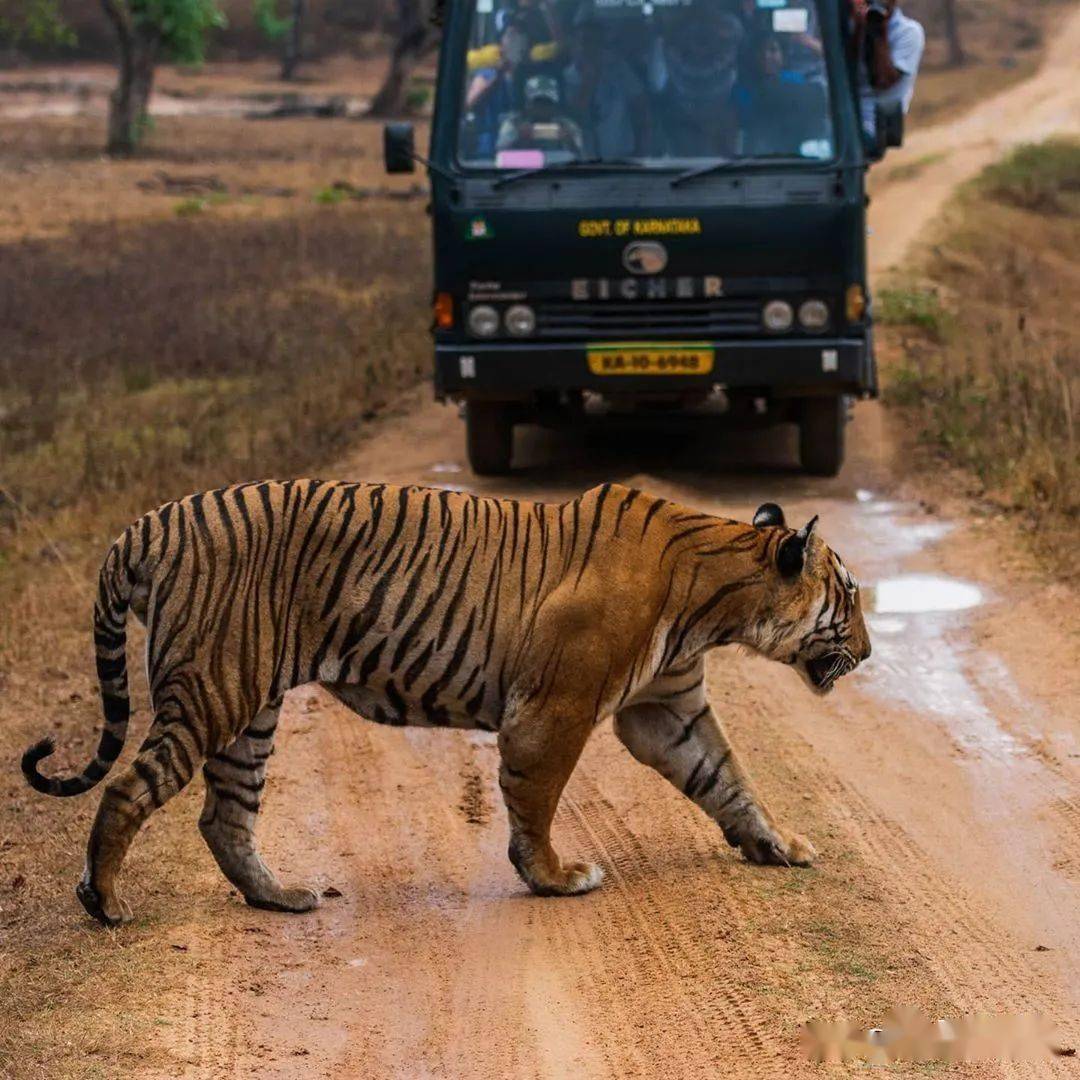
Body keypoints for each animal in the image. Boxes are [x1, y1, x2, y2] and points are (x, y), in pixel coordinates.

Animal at [23, 483, 868, 928]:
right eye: (851, 596)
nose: (867, 650)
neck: (716, 599)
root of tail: (147, 524)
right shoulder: (557, 707)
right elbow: (536, 799)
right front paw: (554, 877)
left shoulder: (665, 708)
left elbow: (728, 778)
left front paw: (779, 845)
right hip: (213, 689)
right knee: (129, 789)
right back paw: (104, 902)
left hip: (249, 708)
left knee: (223, 817)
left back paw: (281, 898)